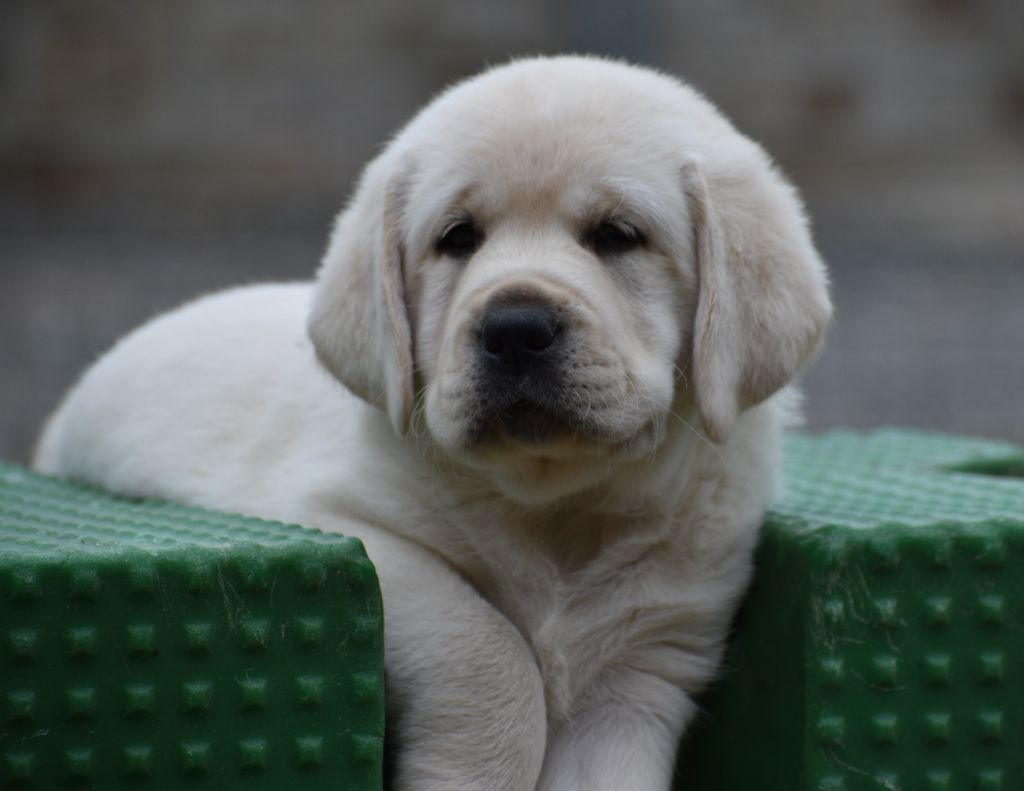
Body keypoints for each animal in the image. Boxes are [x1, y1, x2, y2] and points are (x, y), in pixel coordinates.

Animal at [34, 57, 831, 790]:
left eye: (618, 234)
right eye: (458, 237)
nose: (515, 329)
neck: (558, 506)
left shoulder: (645, 662)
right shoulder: (341, 533)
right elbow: (488, 651)